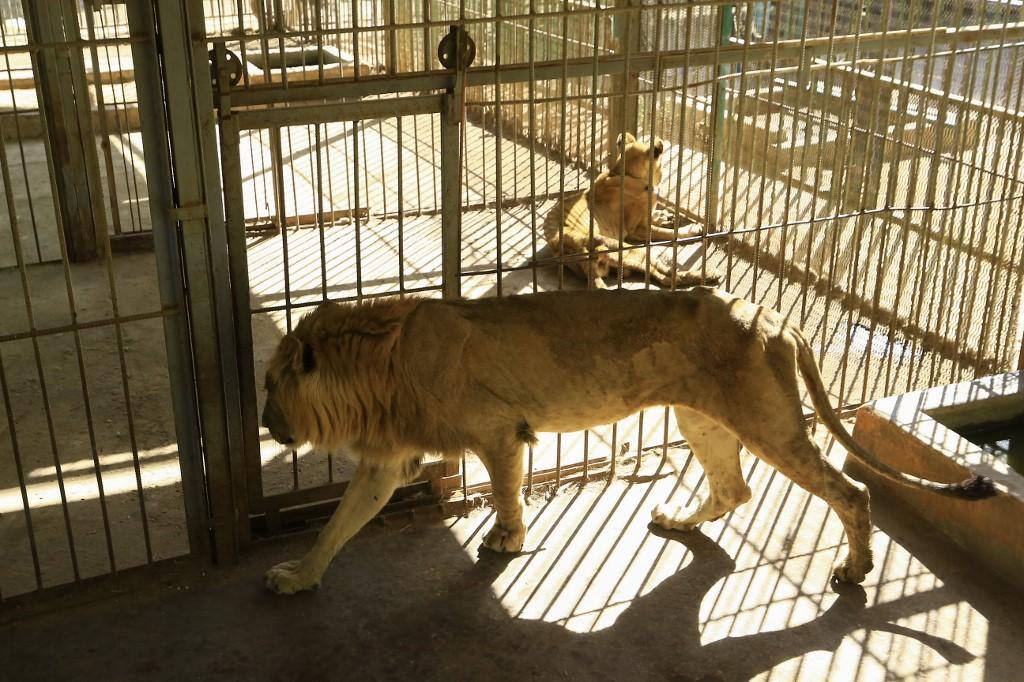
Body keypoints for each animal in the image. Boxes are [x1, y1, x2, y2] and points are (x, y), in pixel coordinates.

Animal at [260, 284, 995, 593]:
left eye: (269, 385)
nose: (266, 424)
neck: (381, 361)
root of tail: (776, 317)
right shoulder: (387, 462)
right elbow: (338, 526)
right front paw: (298, 577)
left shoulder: (501, 432)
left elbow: (506, 493)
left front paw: (506, 542)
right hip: (702, 418)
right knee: (734, 488)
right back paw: (676, 521)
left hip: (769, 425)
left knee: (851, 491)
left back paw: (853, 569)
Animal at [540, 133, 724, 288]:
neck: (625, 173)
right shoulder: (636, 230)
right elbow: (668, 233)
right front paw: (691, 229)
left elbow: (655, 218)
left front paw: (664, 217)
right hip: (629, 249)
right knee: (667, 277)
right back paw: (708, 274)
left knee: (658, 275)